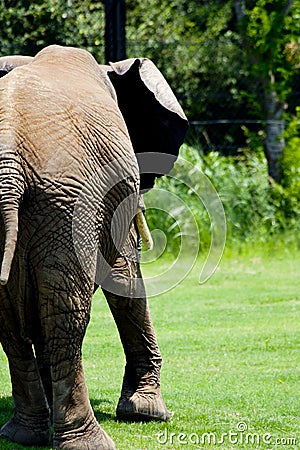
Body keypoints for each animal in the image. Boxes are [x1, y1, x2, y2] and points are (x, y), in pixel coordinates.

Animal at [0, 44, 188, 448]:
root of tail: (8, 164)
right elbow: (125, 276)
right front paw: (149, 413)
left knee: (11, 319)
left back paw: (23, 434)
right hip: (67, 201)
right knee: (66, 314)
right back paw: (87, 440)